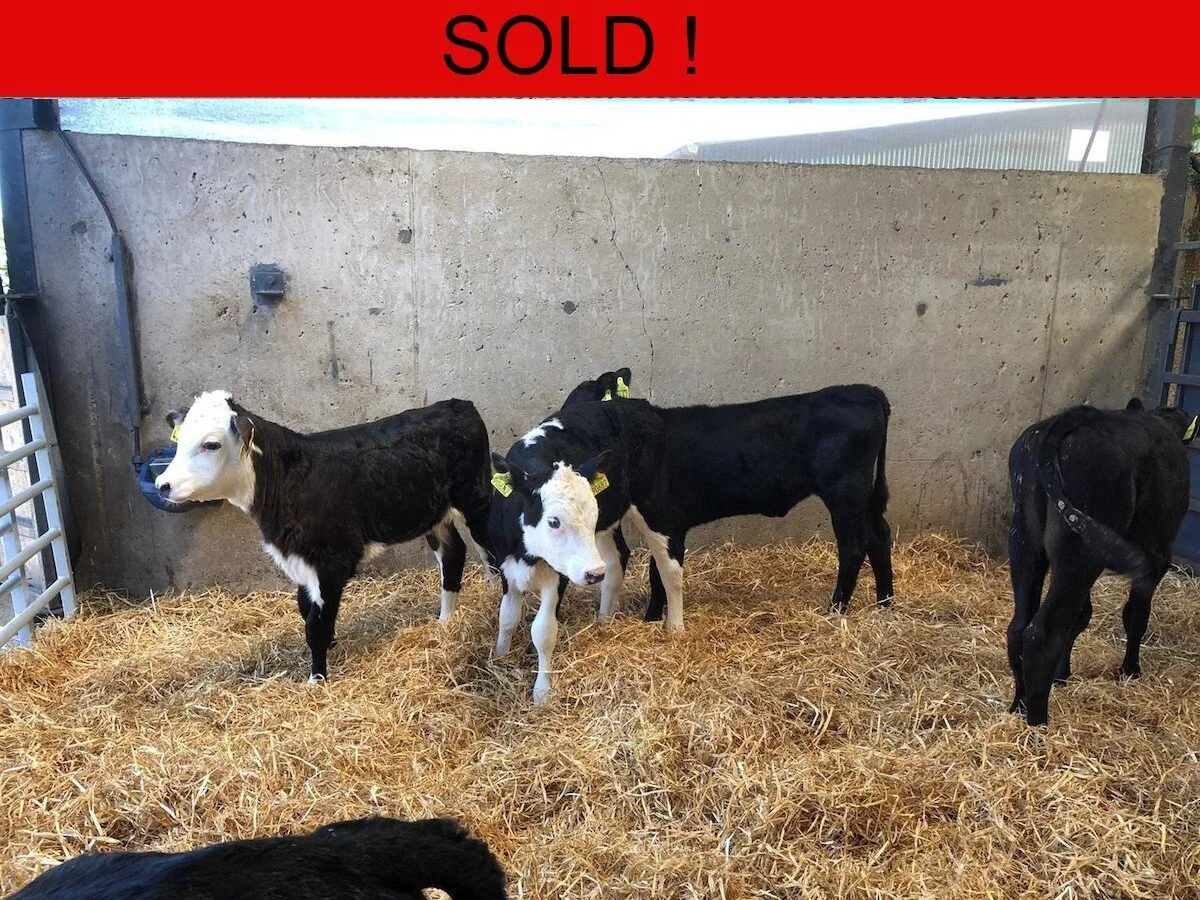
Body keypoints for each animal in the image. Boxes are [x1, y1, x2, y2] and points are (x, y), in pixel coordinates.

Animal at [155, 391, 494, 681]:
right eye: (179, 440)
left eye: (211, 444)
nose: (162, 484)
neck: (288, 480)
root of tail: (457, 404)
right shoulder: (300, 559)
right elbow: (306, 610)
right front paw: (331, 645)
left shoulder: (333, 560)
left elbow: (315, 625)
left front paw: (316, 679)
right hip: (434, 515)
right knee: (453, 554)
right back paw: (445, 621)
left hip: (475, 501)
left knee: (489, 552)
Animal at [489, 384, 893, 702]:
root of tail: (868, 391)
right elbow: (655, 574)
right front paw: (652, 619)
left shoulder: (666, 519)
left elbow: (668, 575)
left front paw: (673, 628)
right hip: (862, 498)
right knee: (879, 536)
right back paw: (885, 603)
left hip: (845, 494)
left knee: (854, 545)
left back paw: (837, 609)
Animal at [1006, 398, 1197, 726]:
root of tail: (1068, 420)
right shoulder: (1157, 555)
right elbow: (1136, 616)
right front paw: (1130, 671)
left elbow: (1081, 617)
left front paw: (1062, 675)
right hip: (1079, 552)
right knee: (1041, 633)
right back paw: (1038, 724)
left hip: (1027, 543)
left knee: (1019, 627)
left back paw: (1019, 705)